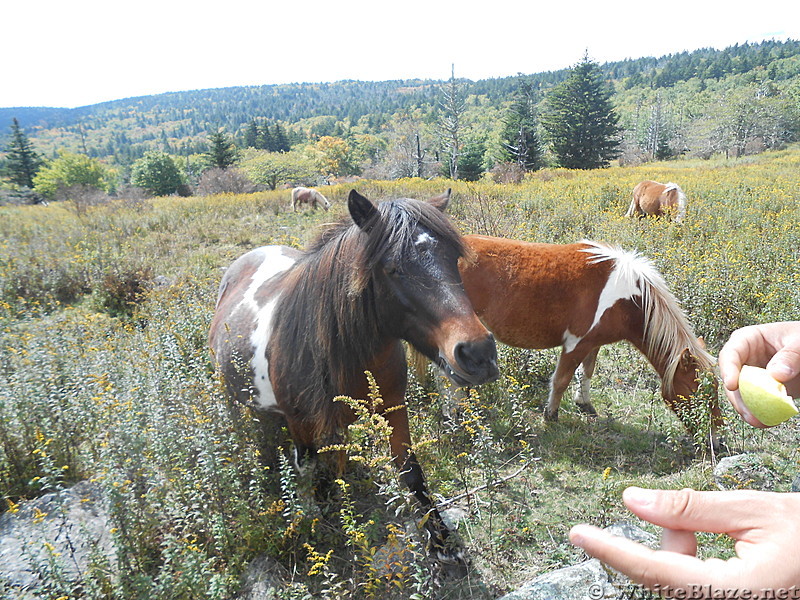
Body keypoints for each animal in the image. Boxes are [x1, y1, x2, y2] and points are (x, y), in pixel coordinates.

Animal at [212, 190, 500, 560]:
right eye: (392, 268)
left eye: (454, 260)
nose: (478, 353)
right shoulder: (300, 423)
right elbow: (309, 471)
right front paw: (317, 522)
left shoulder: (393, 407)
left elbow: (410, 470)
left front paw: (441, 540)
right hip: (237, 404)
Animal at [460, 234, 720, 446]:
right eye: (695, 391)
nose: (715, 440)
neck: (628, 300)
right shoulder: (575, 343)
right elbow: (561, 380)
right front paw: (550, 416)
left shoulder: (593, 343)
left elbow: (587, 371)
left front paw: (584, 403)